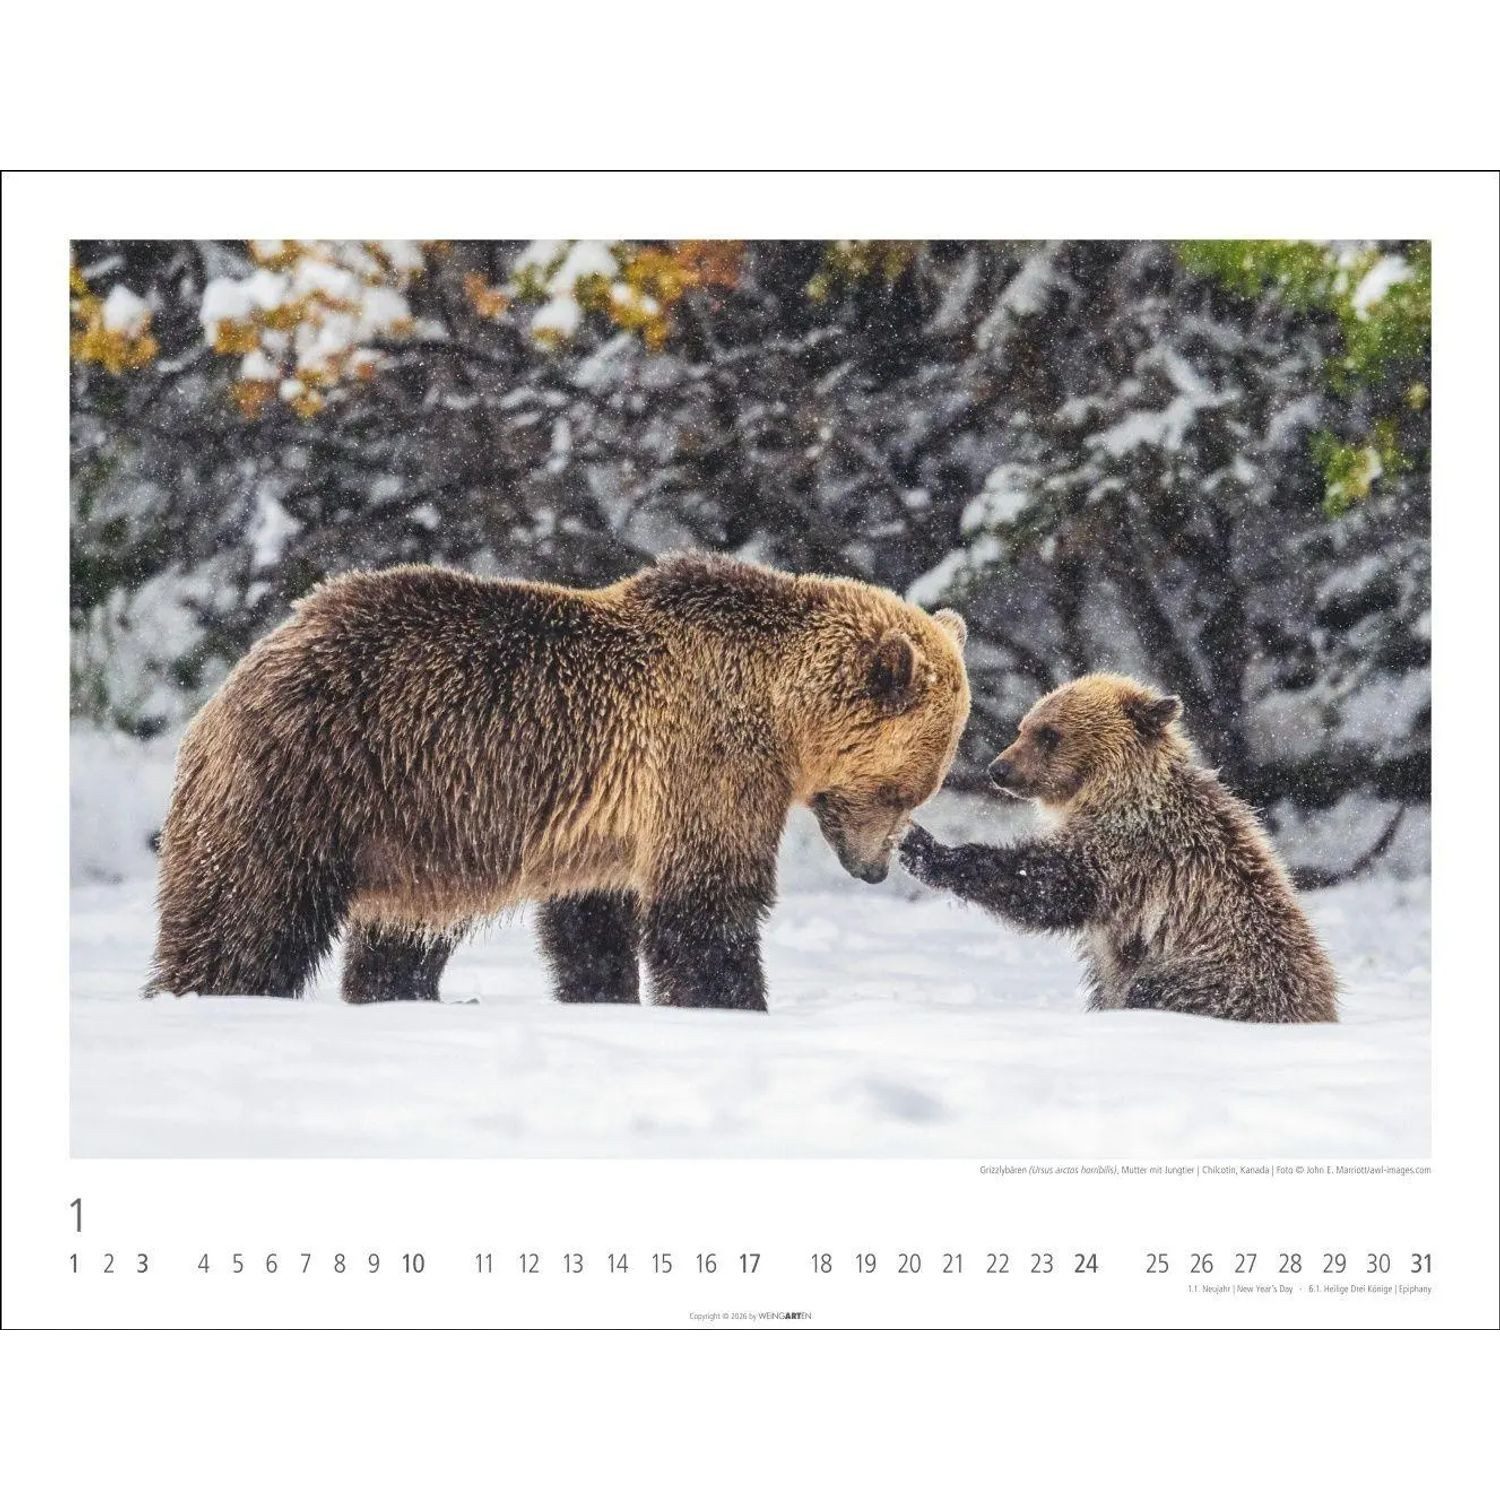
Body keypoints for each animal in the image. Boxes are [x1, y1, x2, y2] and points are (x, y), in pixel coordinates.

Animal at [147, 553, 970, 1012]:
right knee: (245, 915)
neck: (776, 708)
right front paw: (732, 1002)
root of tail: (238, 675)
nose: (874, 869)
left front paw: (605, 996)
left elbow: (591, 925)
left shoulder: (605, 826)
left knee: (399, 936)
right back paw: (205, 994)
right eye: (904, 790)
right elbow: (706, 905)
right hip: (312, 777)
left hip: (412, 836)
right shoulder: (707, 759)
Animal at [898, 673, 1338, 1023]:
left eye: (1049, 733)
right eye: (1023, 727)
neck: (1109, 791)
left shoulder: (1134, 852)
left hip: (1210, 976)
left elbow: (1048, 885)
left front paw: (924, 847)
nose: (998, 769)